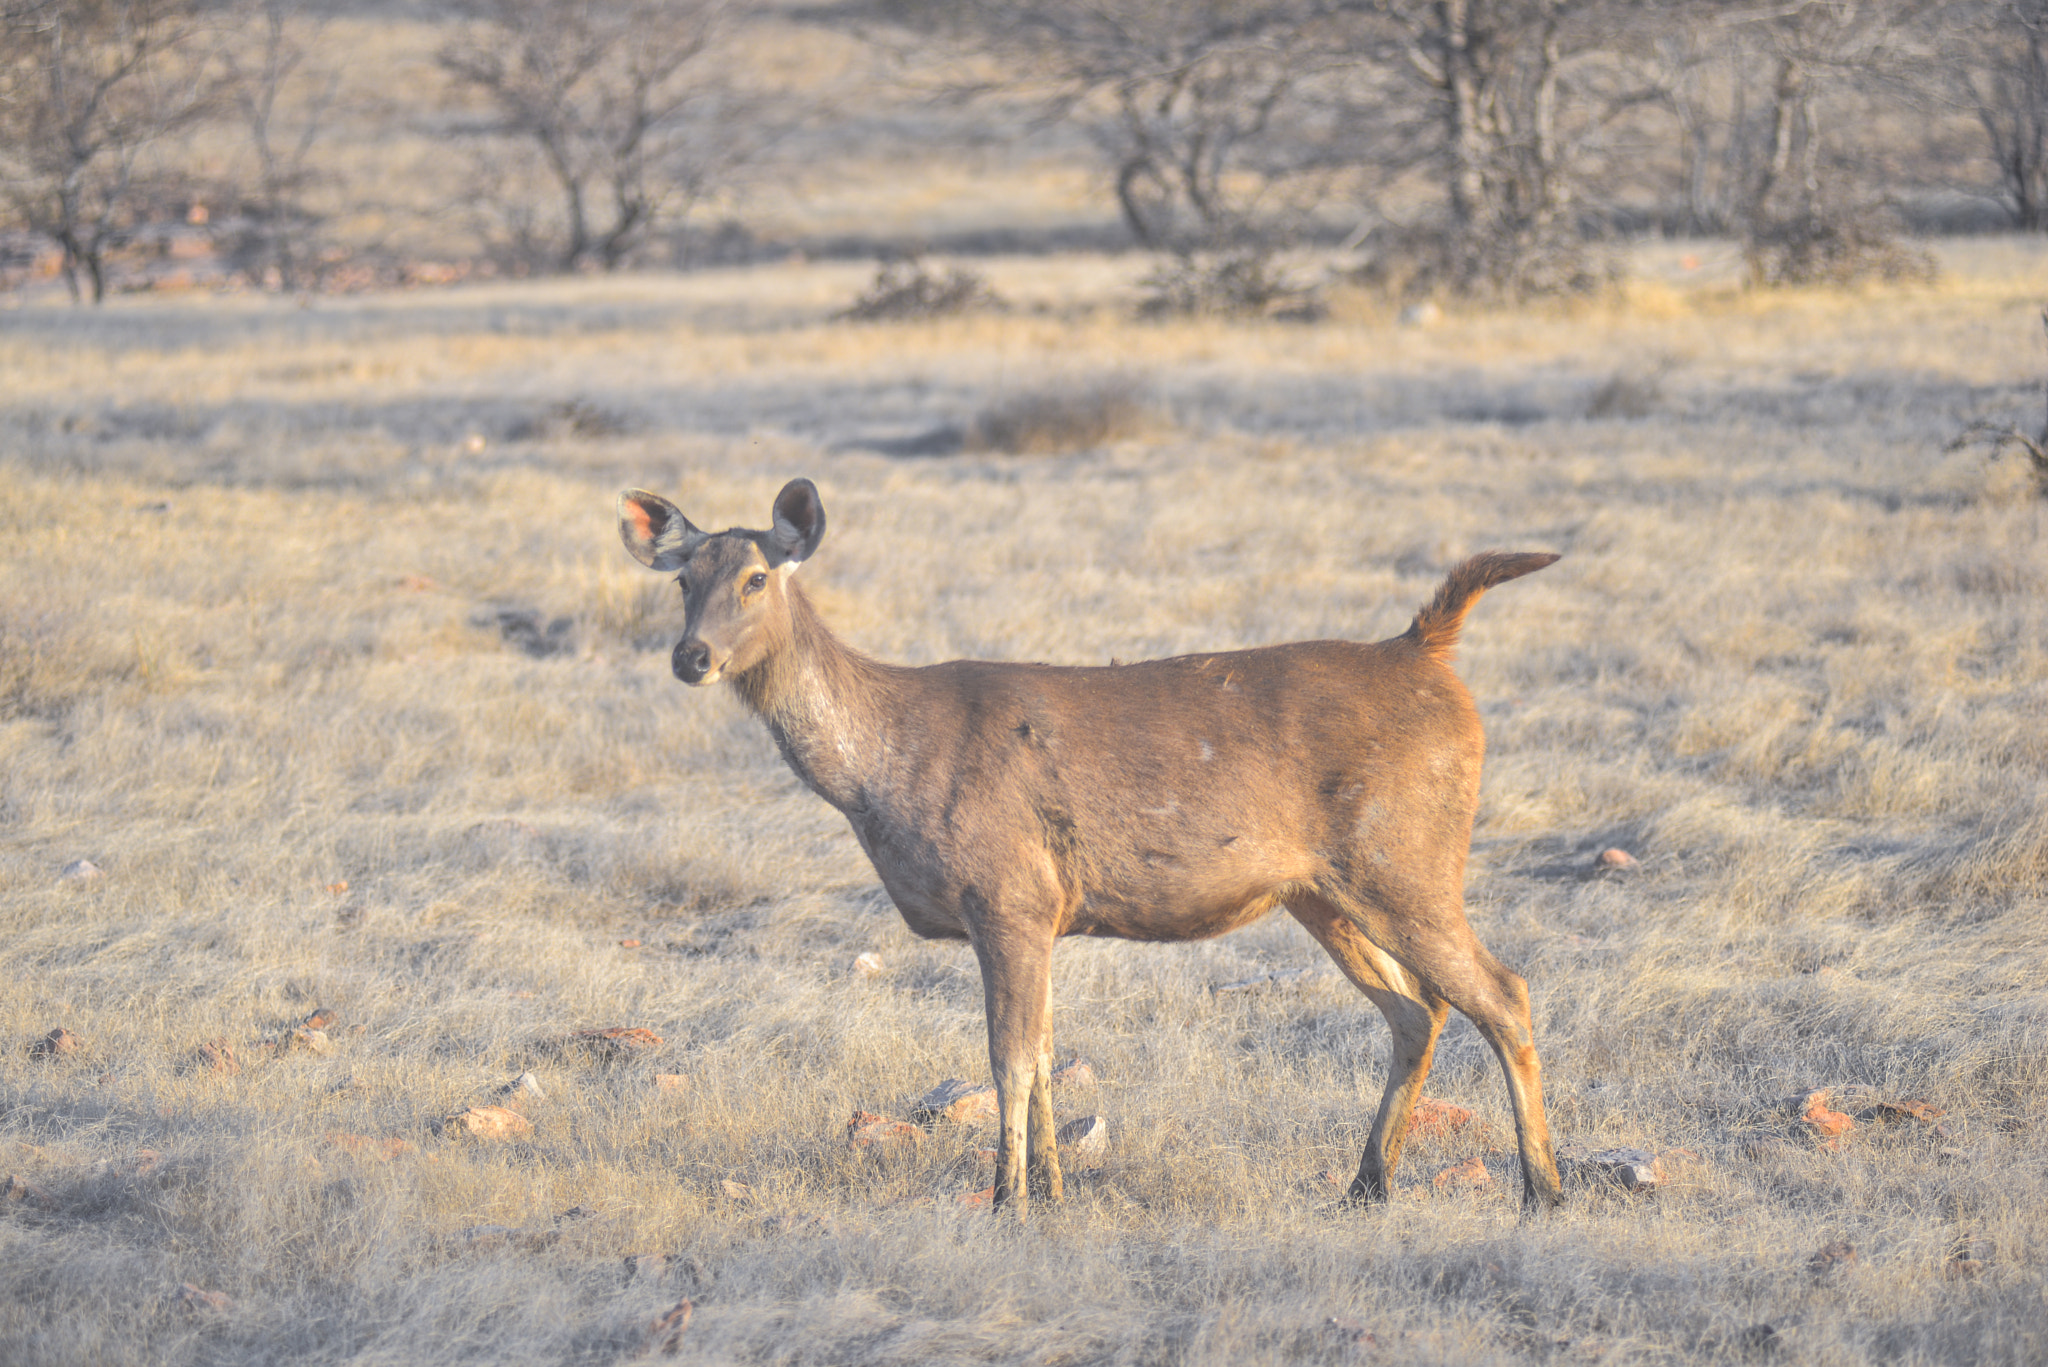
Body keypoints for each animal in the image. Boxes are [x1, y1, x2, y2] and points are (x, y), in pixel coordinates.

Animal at [614, 481, 1556, 1221]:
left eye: (755, 577)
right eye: (683, 579)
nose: (691, 655)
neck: (884, 771)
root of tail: (1427, 649)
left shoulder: (1007, 890)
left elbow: (1008, 1055)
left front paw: (1007, 1199)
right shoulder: (1038, 911)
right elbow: (1043, 1054)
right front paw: (1055, 1191)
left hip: (1406, 854)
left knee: (1501, 992)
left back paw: (1542, 1188)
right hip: (1319, 888)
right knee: (1417, 1009)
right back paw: (1366, 1185)